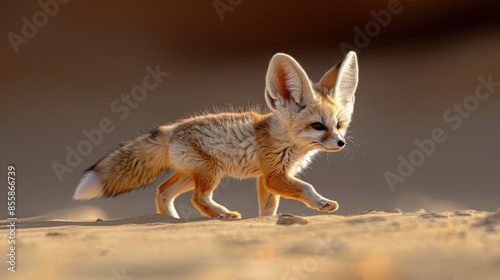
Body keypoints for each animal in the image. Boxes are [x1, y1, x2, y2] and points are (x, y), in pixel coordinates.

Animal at [72, 52, 358, 219]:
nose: (341, 143)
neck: (287, 142)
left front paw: (266, 223)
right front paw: (322, 203)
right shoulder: (274, 175)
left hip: (191, 174)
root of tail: (171, 129)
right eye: (318, 126)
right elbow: (305, 187)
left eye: (339, 125)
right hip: (211, 173)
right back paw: (223, 214)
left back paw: (170, 219)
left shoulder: (266, 179)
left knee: (163, 191)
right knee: (197, 198)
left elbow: (268, 209)